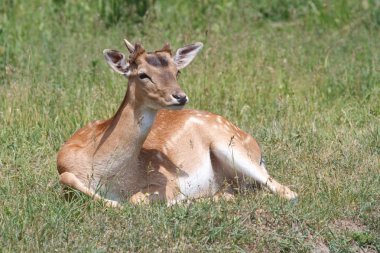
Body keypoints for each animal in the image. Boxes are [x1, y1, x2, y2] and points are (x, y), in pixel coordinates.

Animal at [58, 39, 298, 206]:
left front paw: (176, 201)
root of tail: (257, 148)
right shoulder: (63, 168)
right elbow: (68, 178)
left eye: (177, 71)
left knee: (287, 191)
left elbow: (136, 200)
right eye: (143, 74)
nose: (180, 97)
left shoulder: (166, 180)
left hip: (233, 147)